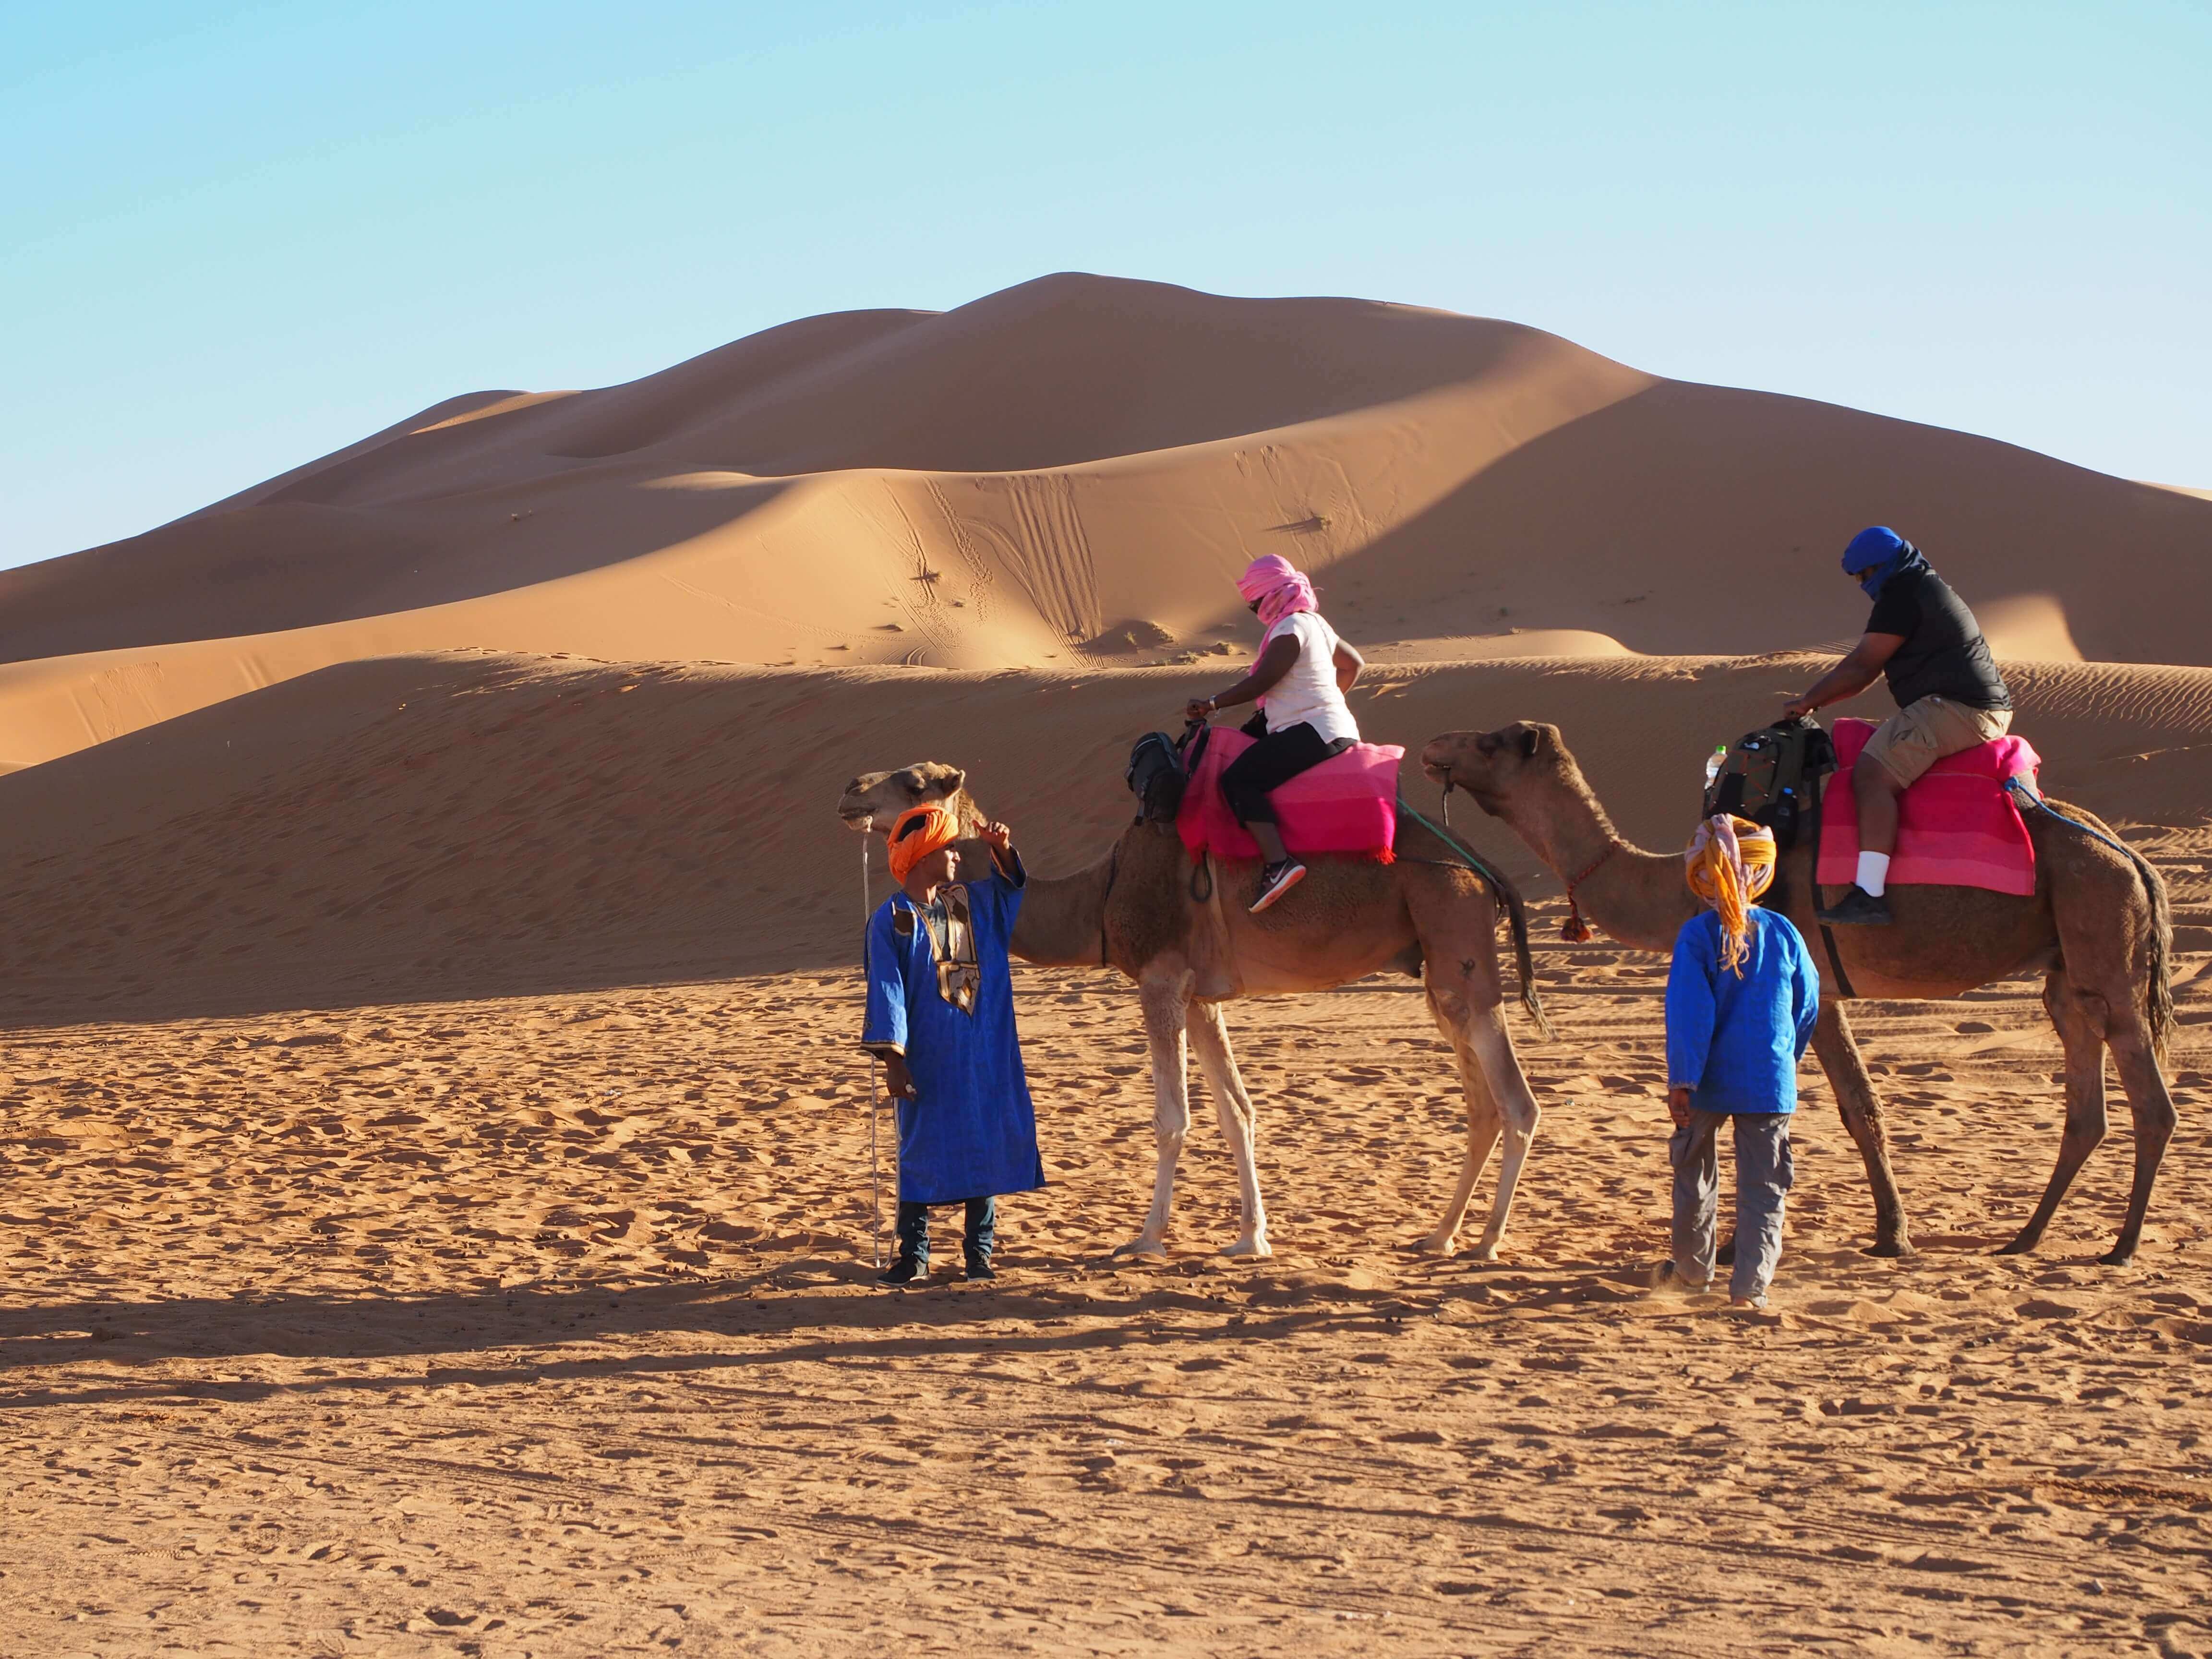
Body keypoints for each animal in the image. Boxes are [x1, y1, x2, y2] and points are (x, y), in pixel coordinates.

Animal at [836, 765, 1548, 1256]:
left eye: (915, 781)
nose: (850, 791)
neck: (1100, 897)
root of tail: (1485, 870)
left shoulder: (1161, 979)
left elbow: (1172, 1120)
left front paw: (1145, 1239)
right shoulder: (1203, 996)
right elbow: (1238, 1113)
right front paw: (1252, 1238)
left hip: (1457, 940)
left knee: (1518, 1103)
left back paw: (1487, 1242)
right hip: (1437, 967)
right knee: (1482, 1105)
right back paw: (1440, 1235)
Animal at [1416, 721, 2176, 1265]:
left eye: (1489, 741)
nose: (1432, 747)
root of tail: (2134, 858)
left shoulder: (1797, 973)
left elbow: (1815, 1106)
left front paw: (1760, 1245)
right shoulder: (1818, 991)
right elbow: (1853, 1108)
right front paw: (1886, 1234)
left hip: (2101, 925)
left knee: (2150, 1098)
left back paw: (2122, 1246)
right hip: (2068, 965)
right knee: (2085, 1093)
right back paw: (2026, 1237)